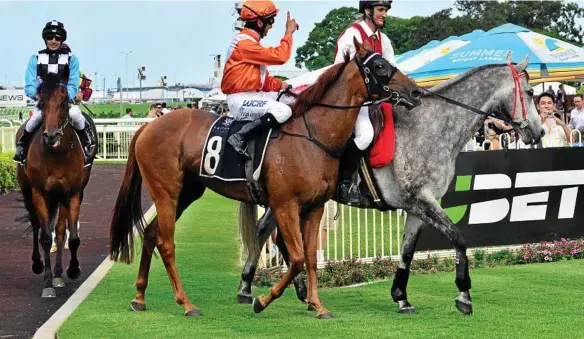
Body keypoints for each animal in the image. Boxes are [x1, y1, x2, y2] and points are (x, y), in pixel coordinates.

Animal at [16, 71, 98, 298]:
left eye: (63, 102)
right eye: (41, 102)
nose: (51, 135)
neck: (57, 153)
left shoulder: (73, 192)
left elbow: (72, 237)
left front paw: (72, 270)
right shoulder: (39, 192)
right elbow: (44, 236)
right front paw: (47, 283)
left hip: (61, 197)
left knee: (60, 230)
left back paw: (59, 274)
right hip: (28, 192)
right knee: (36, 225)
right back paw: (38, 265)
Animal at [108, 39, 420, 318]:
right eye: (379, 66)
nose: (416, 92)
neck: (312, 136)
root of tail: (148, 127)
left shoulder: (314, 207)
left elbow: (309, 258)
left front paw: (317, 305)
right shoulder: (284, 205)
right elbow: (295, 258)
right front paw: (262, 300)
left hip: (187, 192)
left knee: (150, 234)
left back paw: (139, 297)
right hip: (167, 192)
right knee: (166, 242)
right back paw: (186, 304)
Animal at [236, 52, 544, 316]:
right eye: (530, 93)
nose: (539, 132)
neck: (431, 127)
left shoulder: (418, 206)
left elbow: (407, 251)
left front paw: (401, 297)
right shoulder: (422, 201)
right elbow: (458, 237)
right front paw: (464, 295)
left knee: (266, 231)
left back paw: (261, 287)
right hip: (290, 198)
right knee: (273, 235)